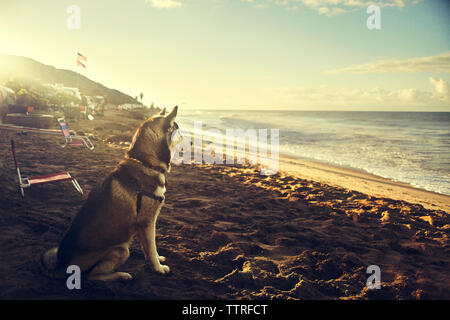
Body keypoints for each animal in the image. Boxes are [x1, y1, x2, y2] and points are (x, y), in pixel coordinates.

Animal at [41, 107, 181, 280]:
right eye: (176, 127)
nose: (184, 134)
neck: (146, 163)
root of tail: (62, 266)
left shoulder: (143, 226)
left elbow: (148, 249)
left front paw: (156, 260)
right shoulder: (147, 222)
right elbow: (152, 247)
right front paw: (158, 268)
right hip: (121, 250)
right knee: (92, 276)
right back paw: (121, 275)